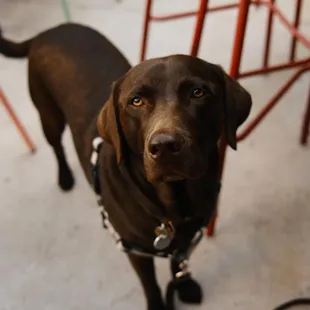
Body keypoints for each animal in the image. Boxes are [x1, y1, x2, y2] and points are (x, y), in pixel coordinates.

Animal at [0, 23, 252, 310]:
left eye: (198, 92)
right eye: (137, 101)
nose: (165, 146)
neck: (172, 205)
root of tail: (49, 31)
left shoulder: (188, 237)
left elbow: (179, 263)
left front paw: (184, 286)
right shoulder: (135, 250)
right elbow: (150, 284)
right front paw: (158, 304)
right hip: (48, 114)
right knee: (56, 146)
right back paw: (65, 177)